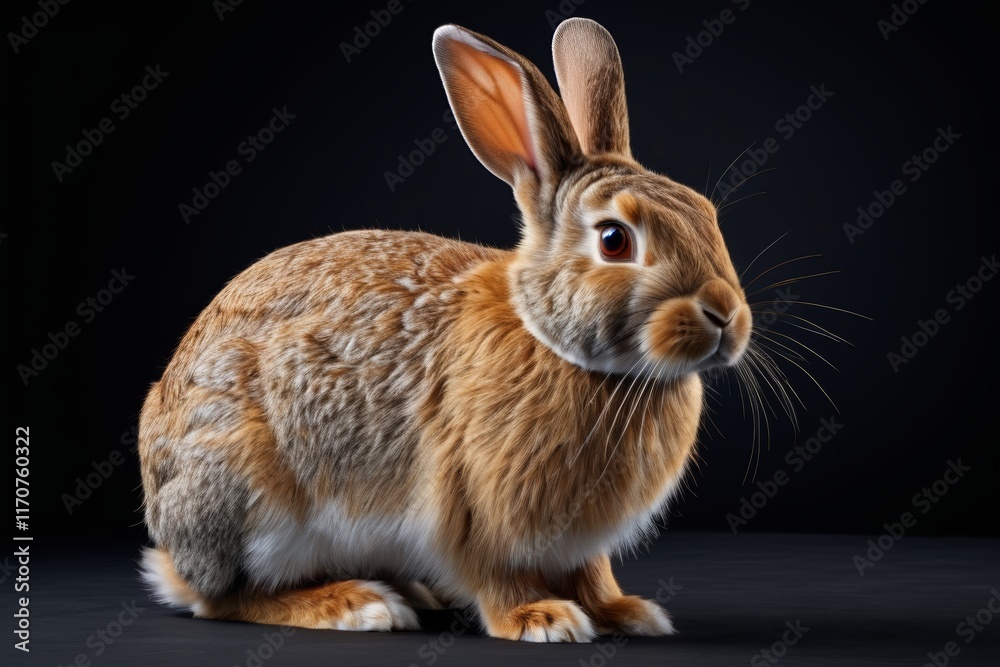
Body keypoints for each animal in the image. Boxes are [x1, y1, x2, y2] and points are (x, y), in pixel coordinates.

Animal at [138, 17, 752, 642]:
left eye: (705, 215)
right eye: (614, 240)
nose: (726, 315)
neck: (558, 345)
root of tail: (173, 547)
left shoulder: (581, 545)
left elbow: (594, 574)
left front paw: (626, 613)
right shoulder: (473, 509)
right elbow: (494, 574)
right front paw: (541, 620)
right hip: (250, 496)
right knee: (230, 597)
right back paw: (357, 605)